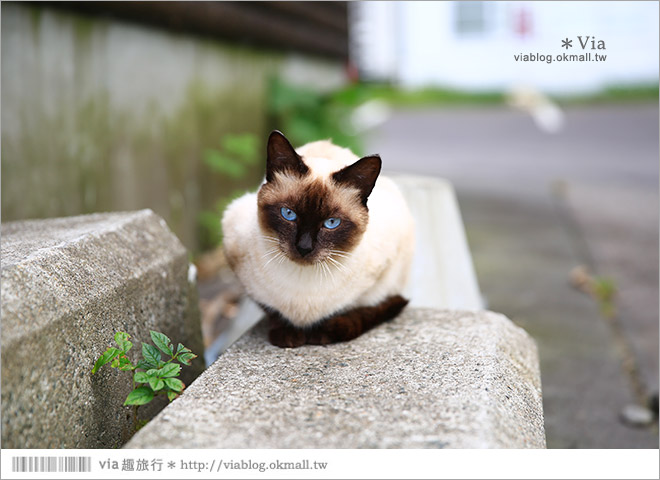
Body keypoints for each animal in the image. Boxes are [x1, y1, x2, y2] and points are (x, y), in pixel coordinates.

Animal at [224, 131, 416, 348]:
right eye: (288, 214)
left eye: (331, 223)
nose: (304, 247)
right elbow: (272, 311)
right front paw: (288, 336)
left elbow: (354, 310)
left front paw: (322, 333)